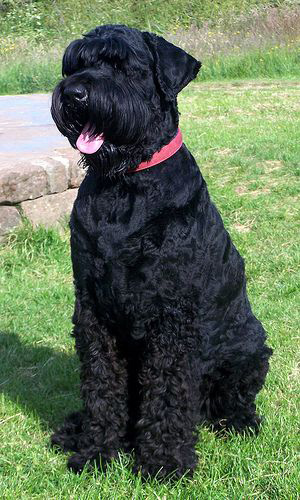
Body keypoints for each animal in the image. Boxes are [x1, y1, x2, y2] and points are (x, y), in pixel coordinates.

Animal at [51, 25, 272, 478]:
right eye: (74, 65)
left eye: (122, 64)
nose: (75, 94)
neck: (126, 186)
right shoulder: (93, 308)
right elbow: (101, 383)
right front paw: (96, 450)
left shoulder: (170, 313)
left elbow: (169, 390)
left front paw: (164, 462)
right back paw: (76, 429)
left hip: (250, 351)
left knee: (232, 399)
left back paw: (240, 422)